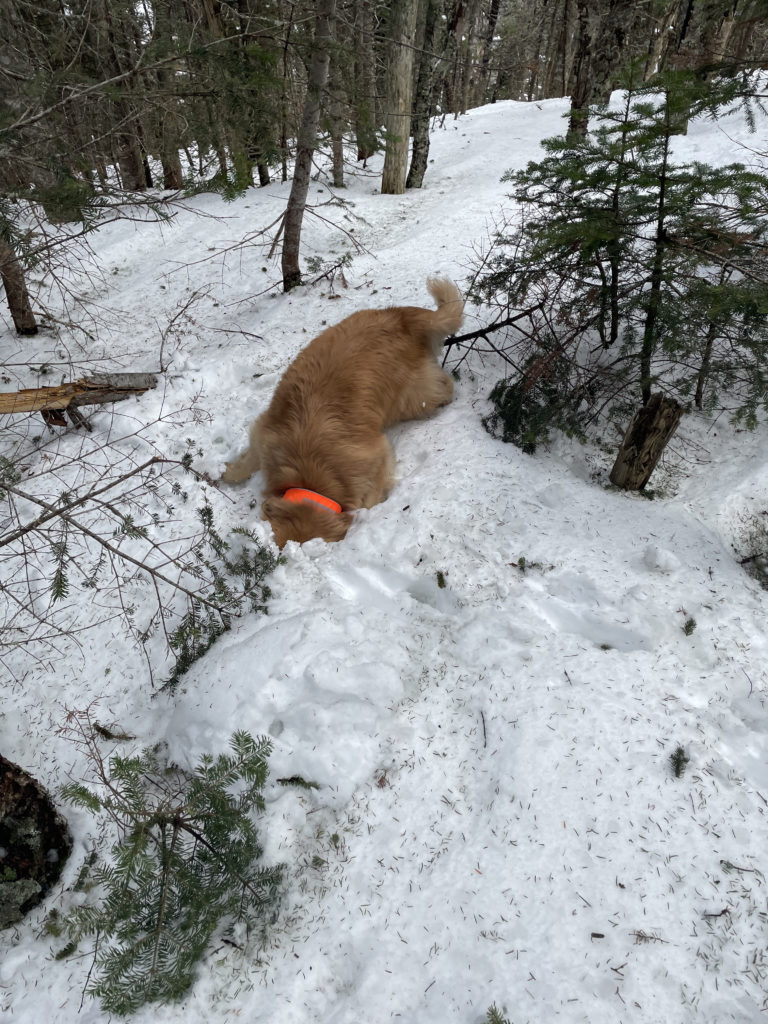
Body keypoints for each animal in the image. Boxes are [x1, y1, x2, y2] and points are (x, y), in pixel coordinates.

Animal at [219, 276, 466, 548]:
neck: (309, 475)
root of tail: (402, 317)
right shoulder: (265, 432)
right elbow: (247, 461)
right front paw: (226, 474)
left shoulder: (377, 455)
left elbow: (371, 493)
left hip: (414, 397)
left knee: (444, 387)